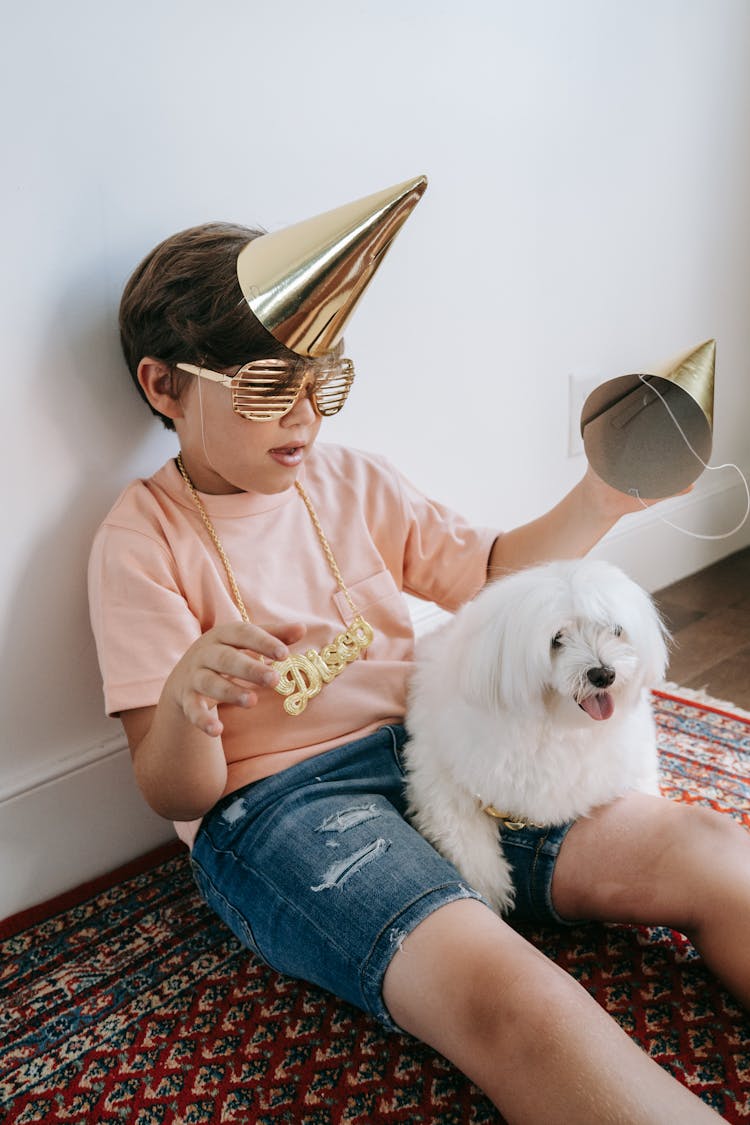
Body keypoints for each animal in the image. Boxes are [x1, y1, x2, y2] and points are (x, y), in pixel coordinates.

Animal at [404, 555, 670, 913]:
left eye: (615, 630)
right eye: (557, 639)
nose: (603, 674)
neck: (559, 727)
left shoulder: (633, 767)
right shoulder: (437, 777)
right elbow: (466, 842)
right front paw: (495, 891)